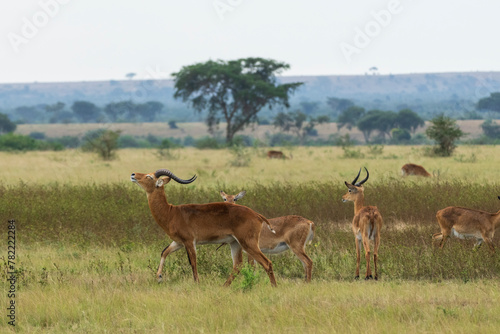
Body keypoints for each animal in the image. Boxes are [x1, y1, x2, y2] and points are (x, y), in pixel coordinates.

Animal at [130, 170, 278, 288]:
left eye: (149, 176)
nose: (133, 175)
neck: (171, 212)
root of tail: (257, 215)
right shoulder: (178, 242)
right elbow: (164, 252)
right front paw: (159, 278)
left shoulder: (189, 241)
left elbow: (193, 262)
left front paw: (197, 284)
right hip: (235, 243)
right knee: (238, 265)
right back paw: (223, 287)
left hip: (248, 243)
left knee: (267, 263)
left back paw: (274, 287)